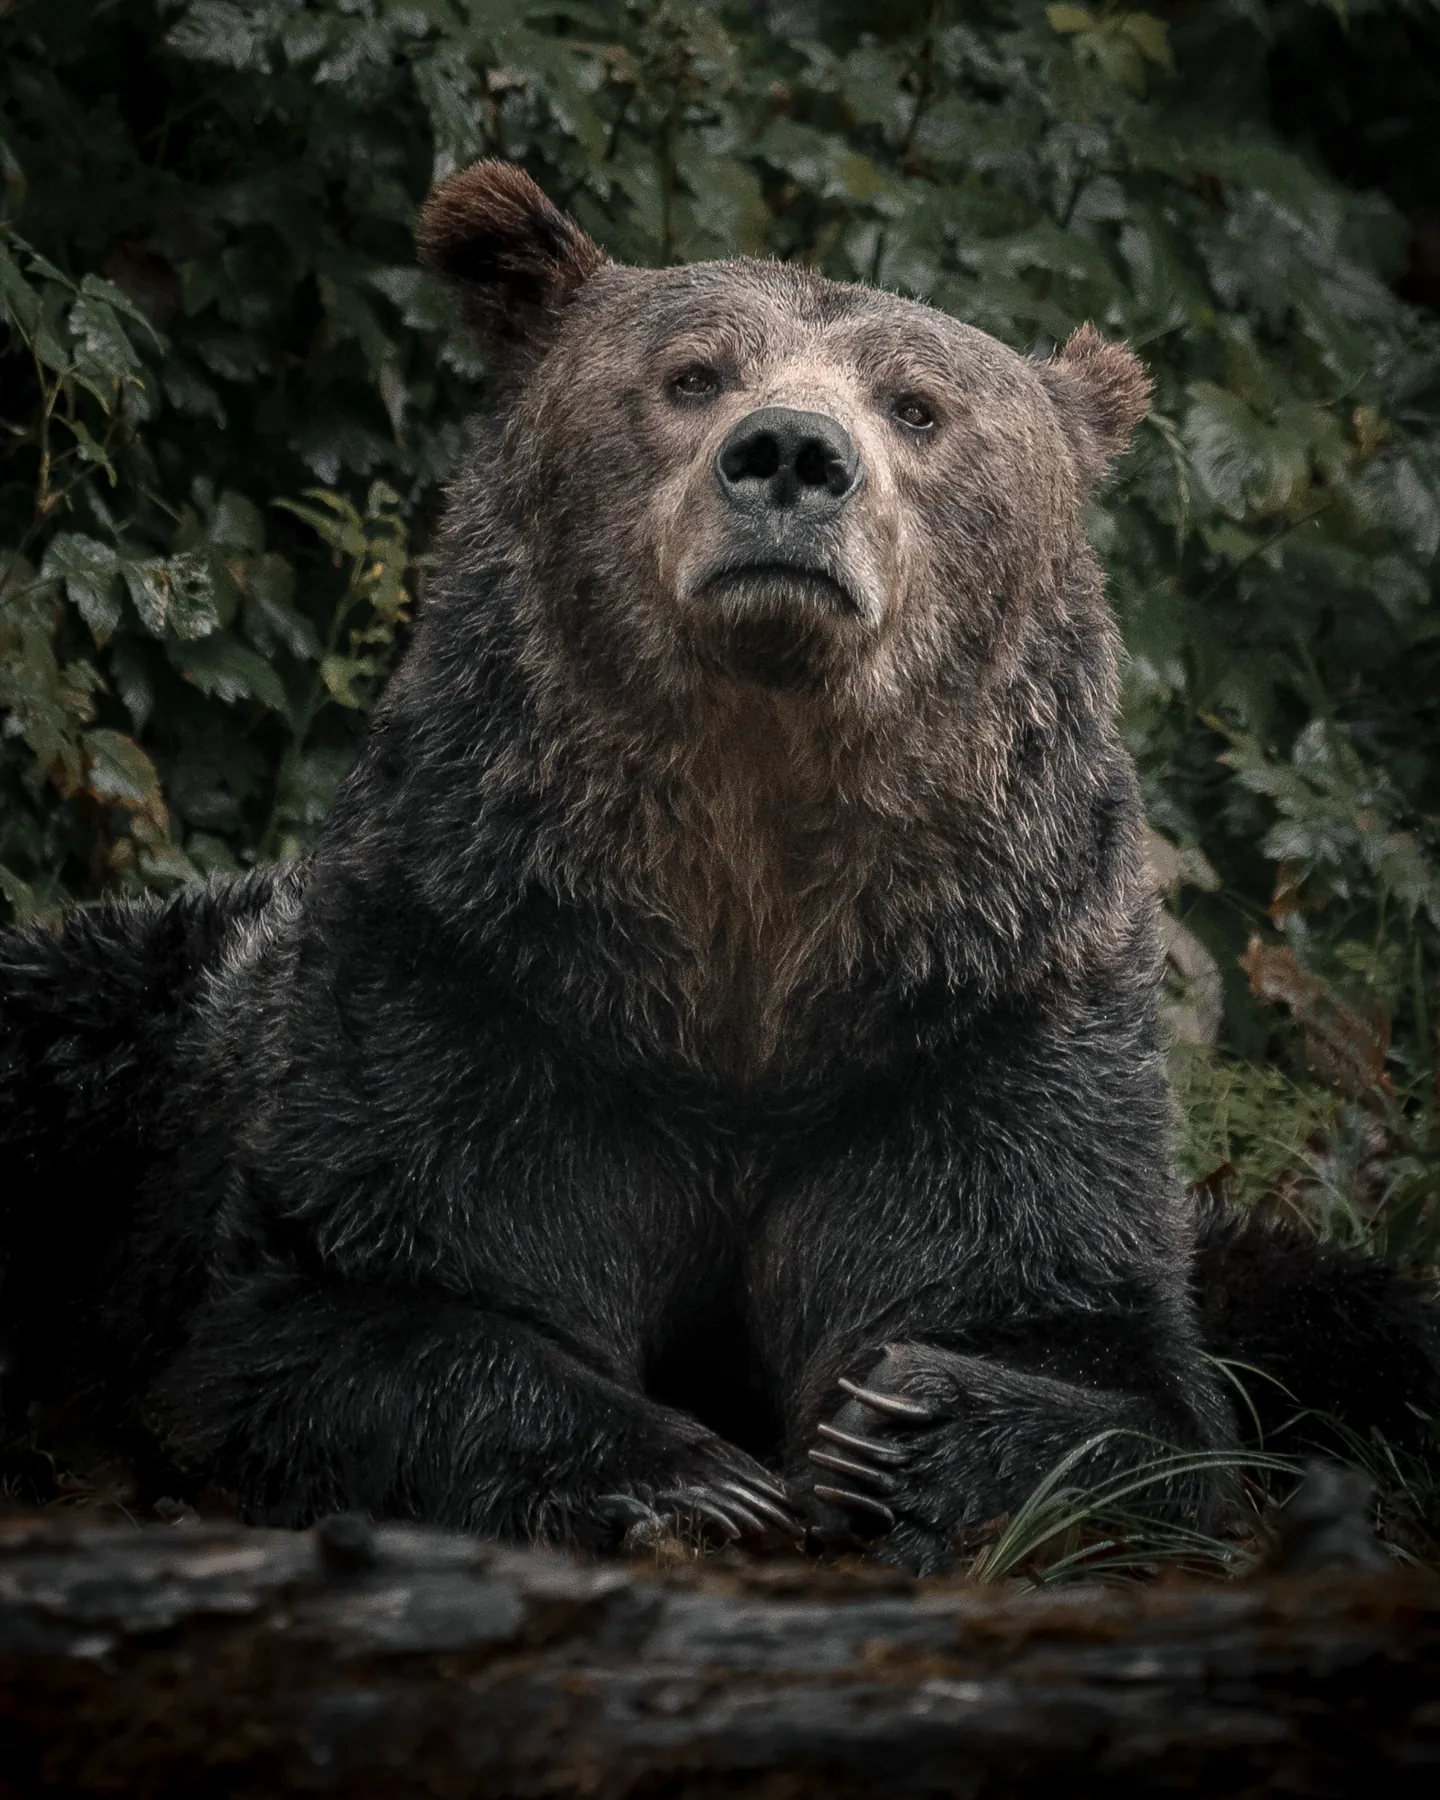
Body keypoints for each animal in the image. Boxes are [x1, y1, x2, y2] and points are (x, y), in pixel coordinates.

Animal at [2, 161, 1437, 1573]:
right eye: (692, 373)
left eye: (918, 405)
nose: (793, 453)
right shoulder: (478, 970)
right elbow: (353, 1296)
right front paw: (692, 1477)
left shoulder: (981, 1019)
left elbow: (1096, 1356)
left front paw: (896, 1436)